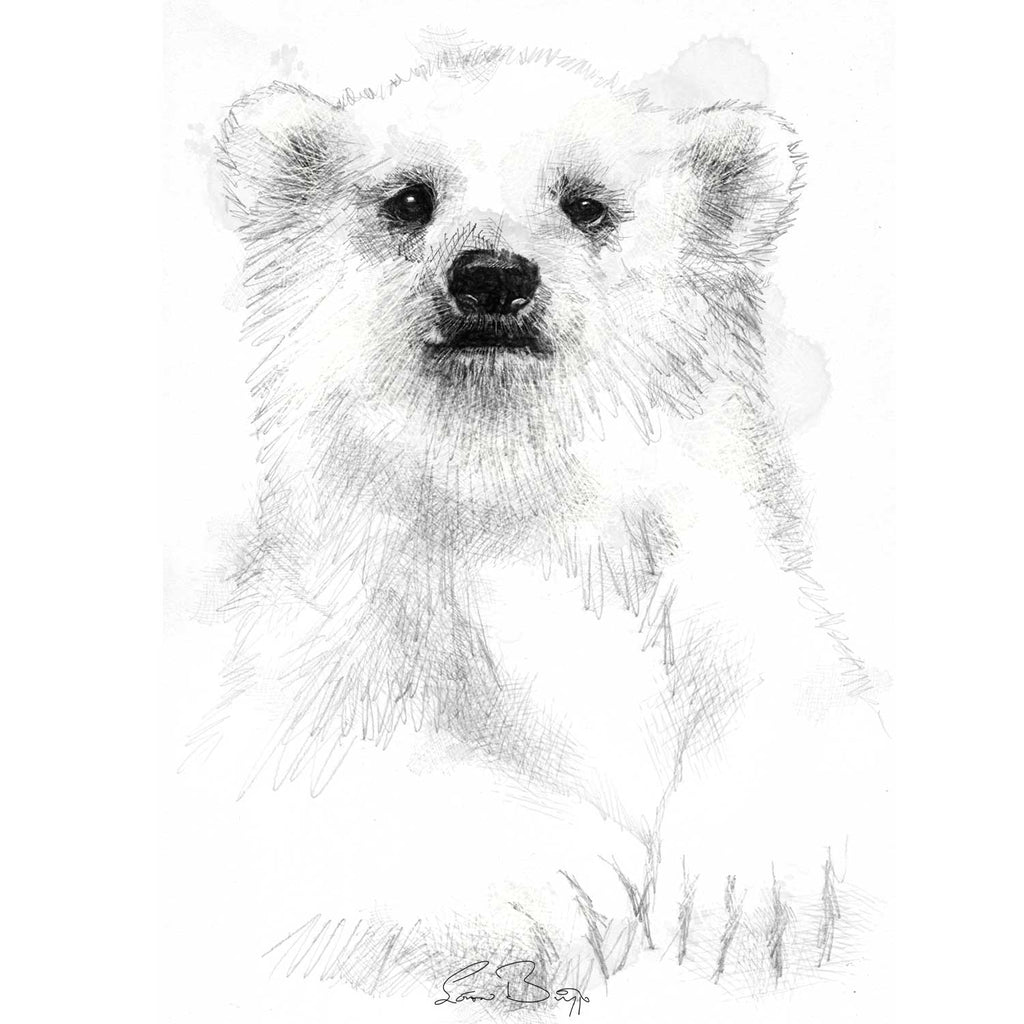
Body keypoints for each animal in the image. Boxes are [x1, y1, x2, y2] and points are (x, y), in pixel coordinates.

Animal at [194, 43, 886, 1009]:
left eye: (586, 202)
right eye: (409, 197)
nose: (491, 275)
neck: (513, 491)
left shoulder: (693, 577)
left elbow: (788, 667)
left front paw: (749, 877)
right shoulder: (349, 622)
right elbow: (309, 766)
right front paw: (562, 882)